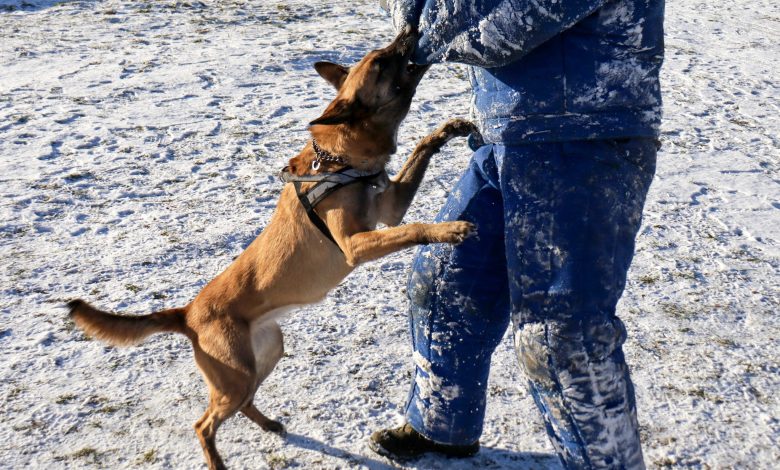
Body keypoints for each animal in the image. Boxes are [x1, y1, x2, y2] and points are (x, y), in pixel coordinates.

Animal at [70, 27, 478, 468]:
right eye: (381, 62)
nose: (408, 31)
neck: (338, 159)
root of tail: (188, 313)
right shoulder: (356, 244)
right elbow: (418, 226)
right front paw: (450, 229)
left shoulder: (390, 207)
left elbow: (420, 150)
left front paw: (449, 129)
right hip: (235, 376)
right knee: (204, 425)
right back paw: (218, 461)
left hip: (263, 355)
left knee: (244, 403)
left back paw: (267, 424)